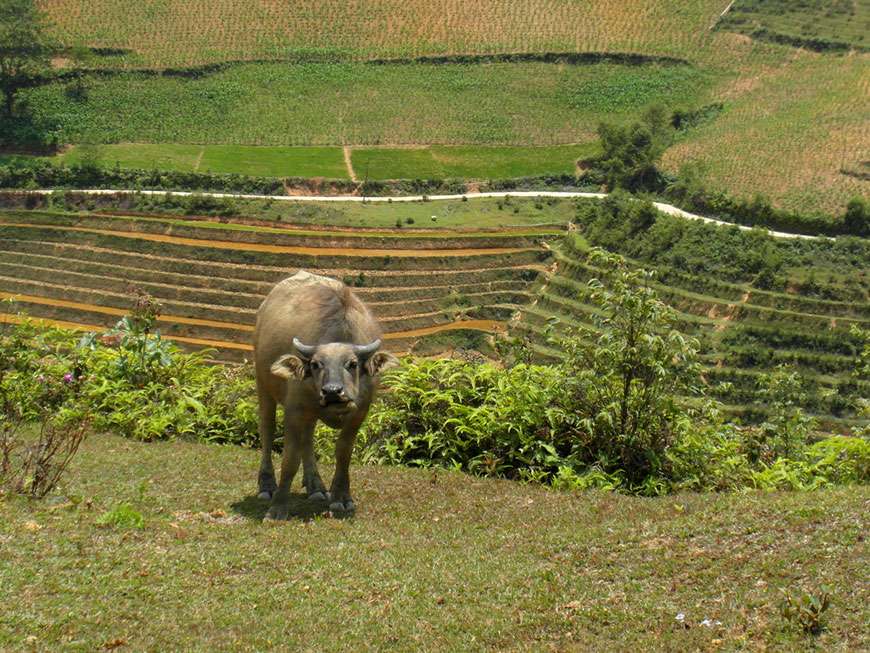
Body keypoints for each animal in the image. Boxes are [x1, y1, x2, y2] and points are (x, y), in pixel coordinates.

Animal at [254, 270, 400, 520]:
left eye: (352, 364)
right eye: (315, 364)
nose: (332, 391)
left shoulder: (359, 412)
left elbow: (343, 452)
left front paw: (341, 497)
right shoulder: (295, 410)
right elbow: (290, 458)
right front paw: (278, 508)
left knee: (308, 439)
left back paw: (316, 487)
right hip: (263, 386)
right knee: (268, 430)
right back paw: (267, 486)